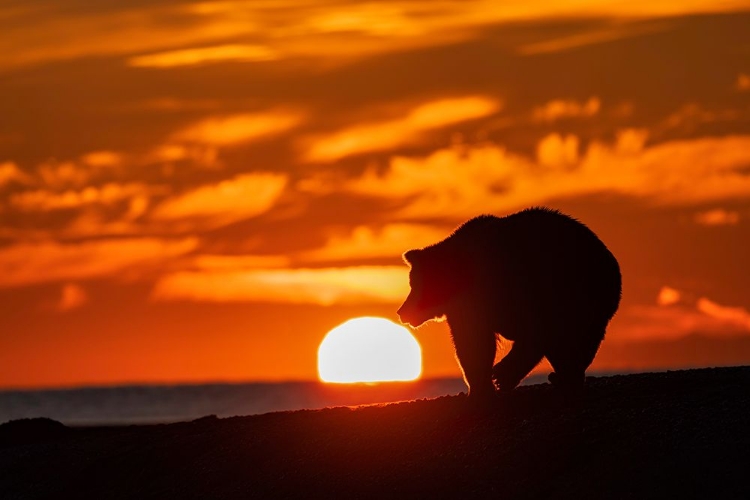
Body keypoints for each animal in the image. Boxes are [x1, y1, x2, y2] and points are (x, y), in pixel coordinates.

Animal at [400, 206, 624, 398]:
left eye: (413, 284)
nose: (402, 311)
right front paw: (485, 384)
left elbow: (477, 342)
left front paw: (494, 379)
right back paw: (564, 377)